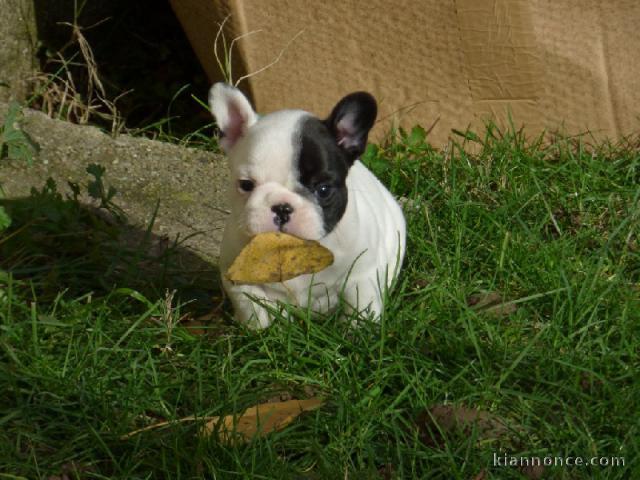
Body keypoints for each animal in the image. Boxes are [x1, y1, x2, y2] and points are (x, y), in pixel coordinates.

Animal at [208, 84, 404, 328]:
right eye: (246, 185)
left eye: (323, 190)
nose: (282, 207)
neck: (294, 247)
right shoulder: (240, 280)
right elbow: (254, 309)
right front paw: (263, 331)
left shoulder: (361, 276)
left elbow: (360, 308)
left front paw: (358, 332)